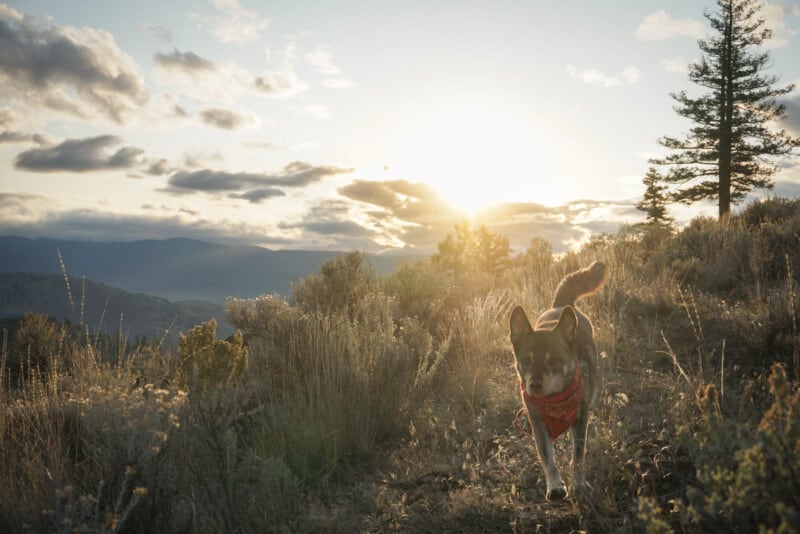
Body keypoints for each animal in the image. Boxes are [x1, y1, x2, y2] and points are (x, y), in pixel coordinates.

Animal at [512, 262, 608, 502]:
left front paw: (578, 483)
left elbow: (578, 456)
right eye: (526, 361)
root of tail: (561, 305)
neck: (554, 399)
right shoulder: (538, 425)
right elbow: (548, 460)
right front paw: (555, 486)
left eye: (552, 360)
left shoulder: (580, 419)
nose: (534, 385)